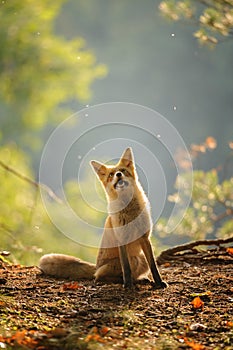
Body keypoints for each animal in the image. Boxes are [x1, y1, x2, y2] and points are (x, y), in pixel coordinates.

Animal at [40, 149, 167, 288]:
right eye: (111, 175)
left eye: (123, 171)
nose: (118, 174)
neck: (130, 214)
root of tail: (96, 266)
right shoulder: (121, 240)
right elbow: (126, 268)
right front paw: (128, 285)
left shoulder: (145, 238)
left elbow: (154, 266)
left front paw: (159, 282)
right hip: (132, 260)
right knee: (99, 277)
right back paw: (124, 281)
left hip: (140, 257)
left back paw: (141, 280)